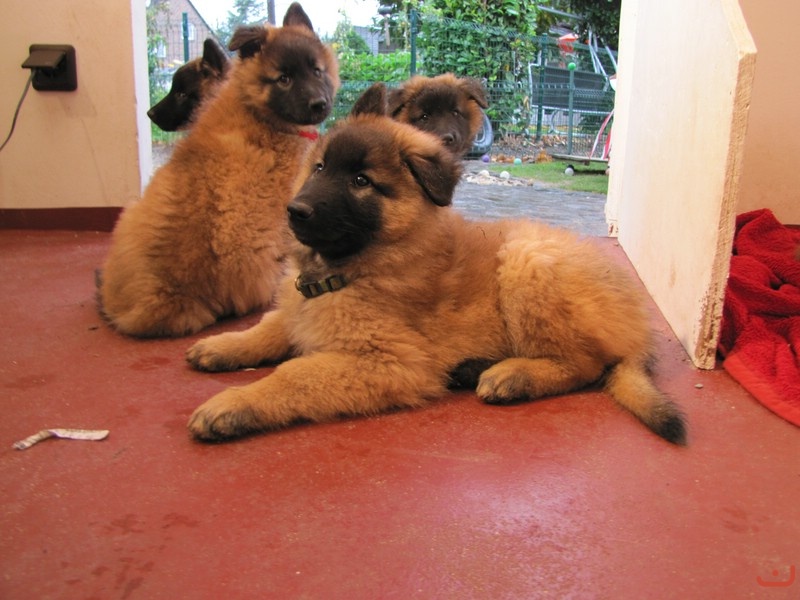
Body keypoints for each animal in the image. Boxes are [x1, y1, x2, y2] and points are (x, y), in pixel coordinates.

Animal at [185, 83, 686, 446]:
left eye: (362, 181)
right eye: (321, 168)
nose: (295, 211)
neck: (351, 268)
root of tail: (639, 324)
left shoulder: (392, 362)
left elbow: (296, 375)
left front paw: (234, 405)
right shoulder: (297, 309)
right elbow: (270, 326)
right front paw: (224, 345)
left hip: (527, 262)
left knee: (586, 364)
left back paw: (512, 377)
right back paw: (472, 369)